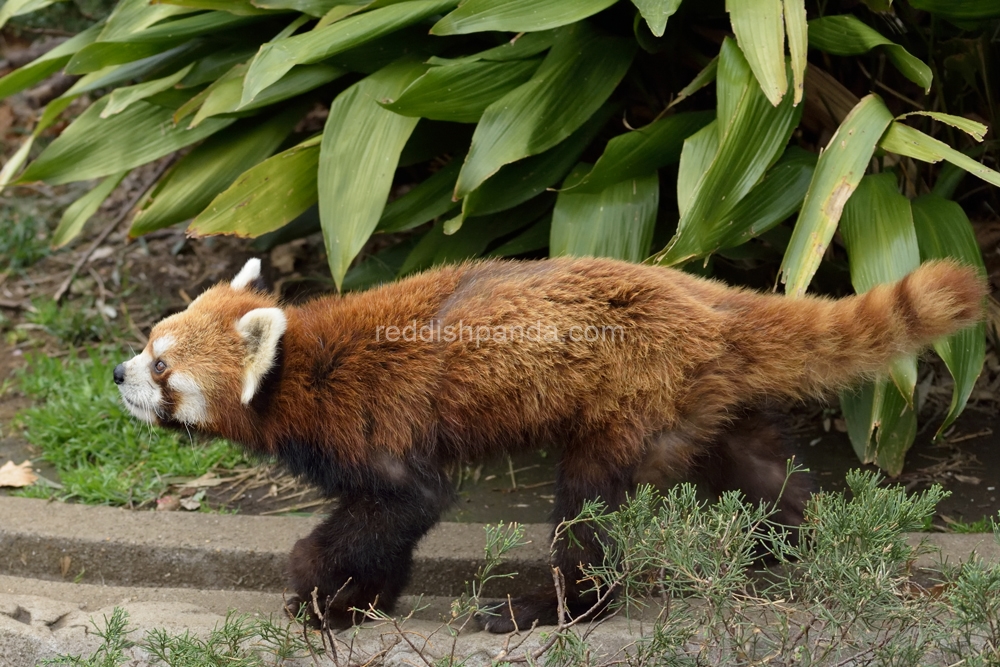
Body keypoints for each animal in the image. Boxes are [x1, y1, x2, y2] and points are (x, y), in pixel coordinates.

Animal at [115, 254, 984, 632]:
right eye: (148, 342)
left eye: (162, 366)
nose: (118, 373)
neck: (303, 368)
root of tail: (703, 299)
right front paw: (359, 597)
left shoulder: (377, 421)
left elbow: (397, 508)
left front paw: (320, 592)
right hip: (699, 402)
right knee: (759, 467)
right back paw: (797, 542)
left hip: (627, 402)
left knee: (591, 512)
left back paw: (550, 604)